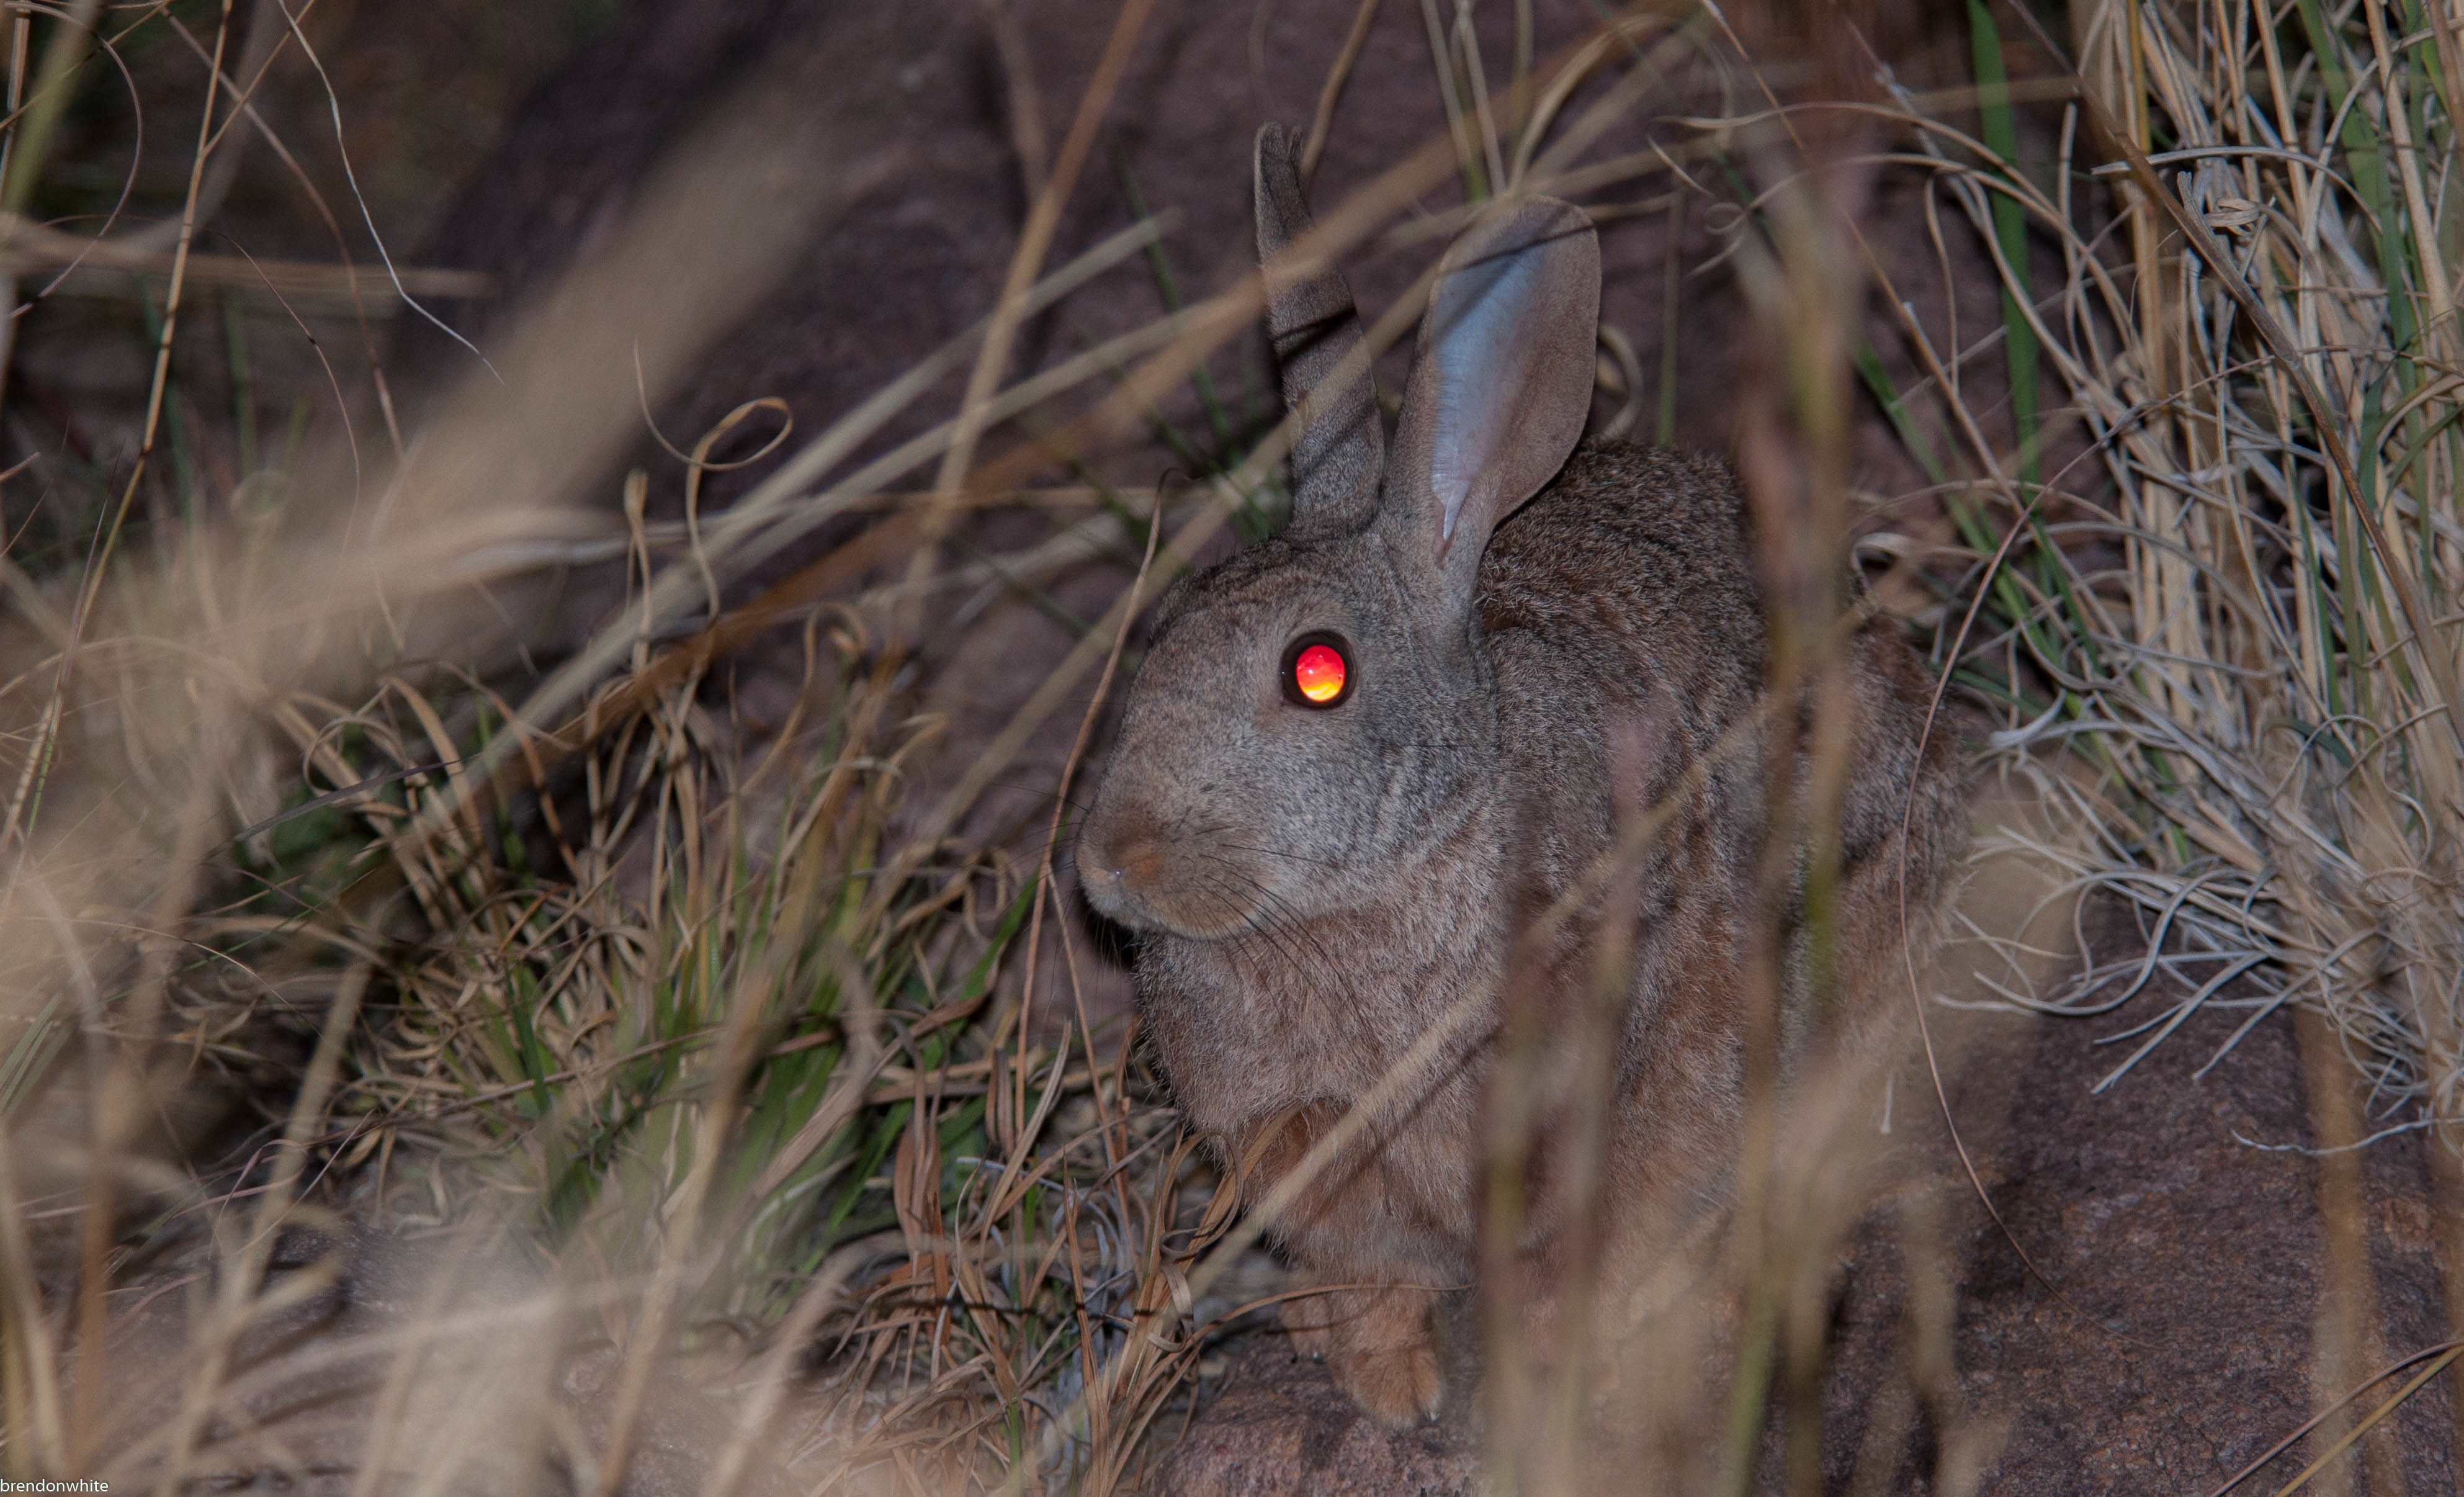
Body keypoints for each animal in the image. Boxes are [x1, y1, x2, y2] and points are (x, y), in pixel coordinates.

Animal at [1079, 128, 1961, 1430]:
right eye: (1168, 621)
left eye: (1317, 673)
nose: (1109, 861)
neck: (1378, 881)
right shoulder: (1306, 1148)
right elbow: (1373, 1276)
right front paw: (1389, 1385)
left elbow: (1572, 1250)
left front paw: (1542, 1375)